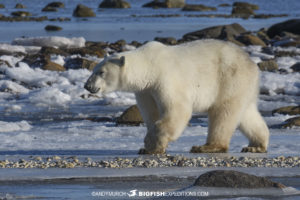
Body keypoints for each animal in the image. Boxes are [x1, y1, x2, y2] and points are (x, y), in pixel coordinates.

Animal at [84, 39, 270, 155]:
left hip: (230, 78)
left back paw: (207, 146)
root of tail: (252, 64)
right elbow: (151, 113)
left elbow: (178, 110)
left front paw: (150, 144)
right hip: (242, 86)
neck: (149, 66)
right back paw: (256, 146)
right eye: (94, 70)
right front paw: (150, 147)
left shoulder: (165, 79)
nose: (87, 86)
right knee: (245, 113)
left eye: (101, 72)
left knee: (223, 113)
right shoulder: (146, 90)